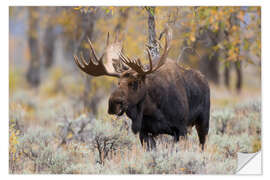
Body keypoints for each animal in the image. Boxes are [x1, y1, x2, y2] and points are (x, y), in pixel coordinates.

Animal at [74, 29, 211, 150]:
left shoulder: (181, 129)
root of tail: (205, 80)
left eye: (135, 83)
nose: (113, 104)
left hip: (203, 122)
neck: (153, 109)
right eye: (118, 83)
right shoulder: (144, 132)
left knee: (202, 145)